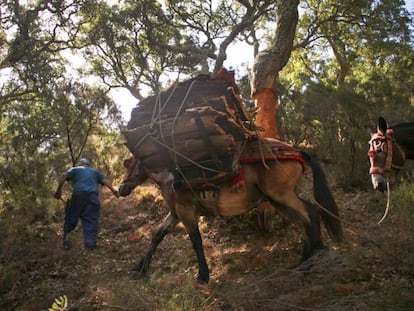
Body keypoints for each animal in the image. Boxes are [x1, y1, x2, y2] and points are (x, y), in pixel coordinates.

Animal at [117, 139, 342, 286]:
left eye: (129, 165)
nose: (121, 189)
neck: (170, 179)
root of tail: (297, 152)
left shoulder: (186, 212)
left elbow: (196, 242)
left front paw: (203, 276)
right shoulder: (175, 214)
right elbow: (157, 236)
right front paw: (140, 267)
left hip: (282, 196)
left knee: (311, 214)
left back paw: (314, 256)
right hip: (279, 200)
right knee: (306, 220)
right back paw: (304, 260)